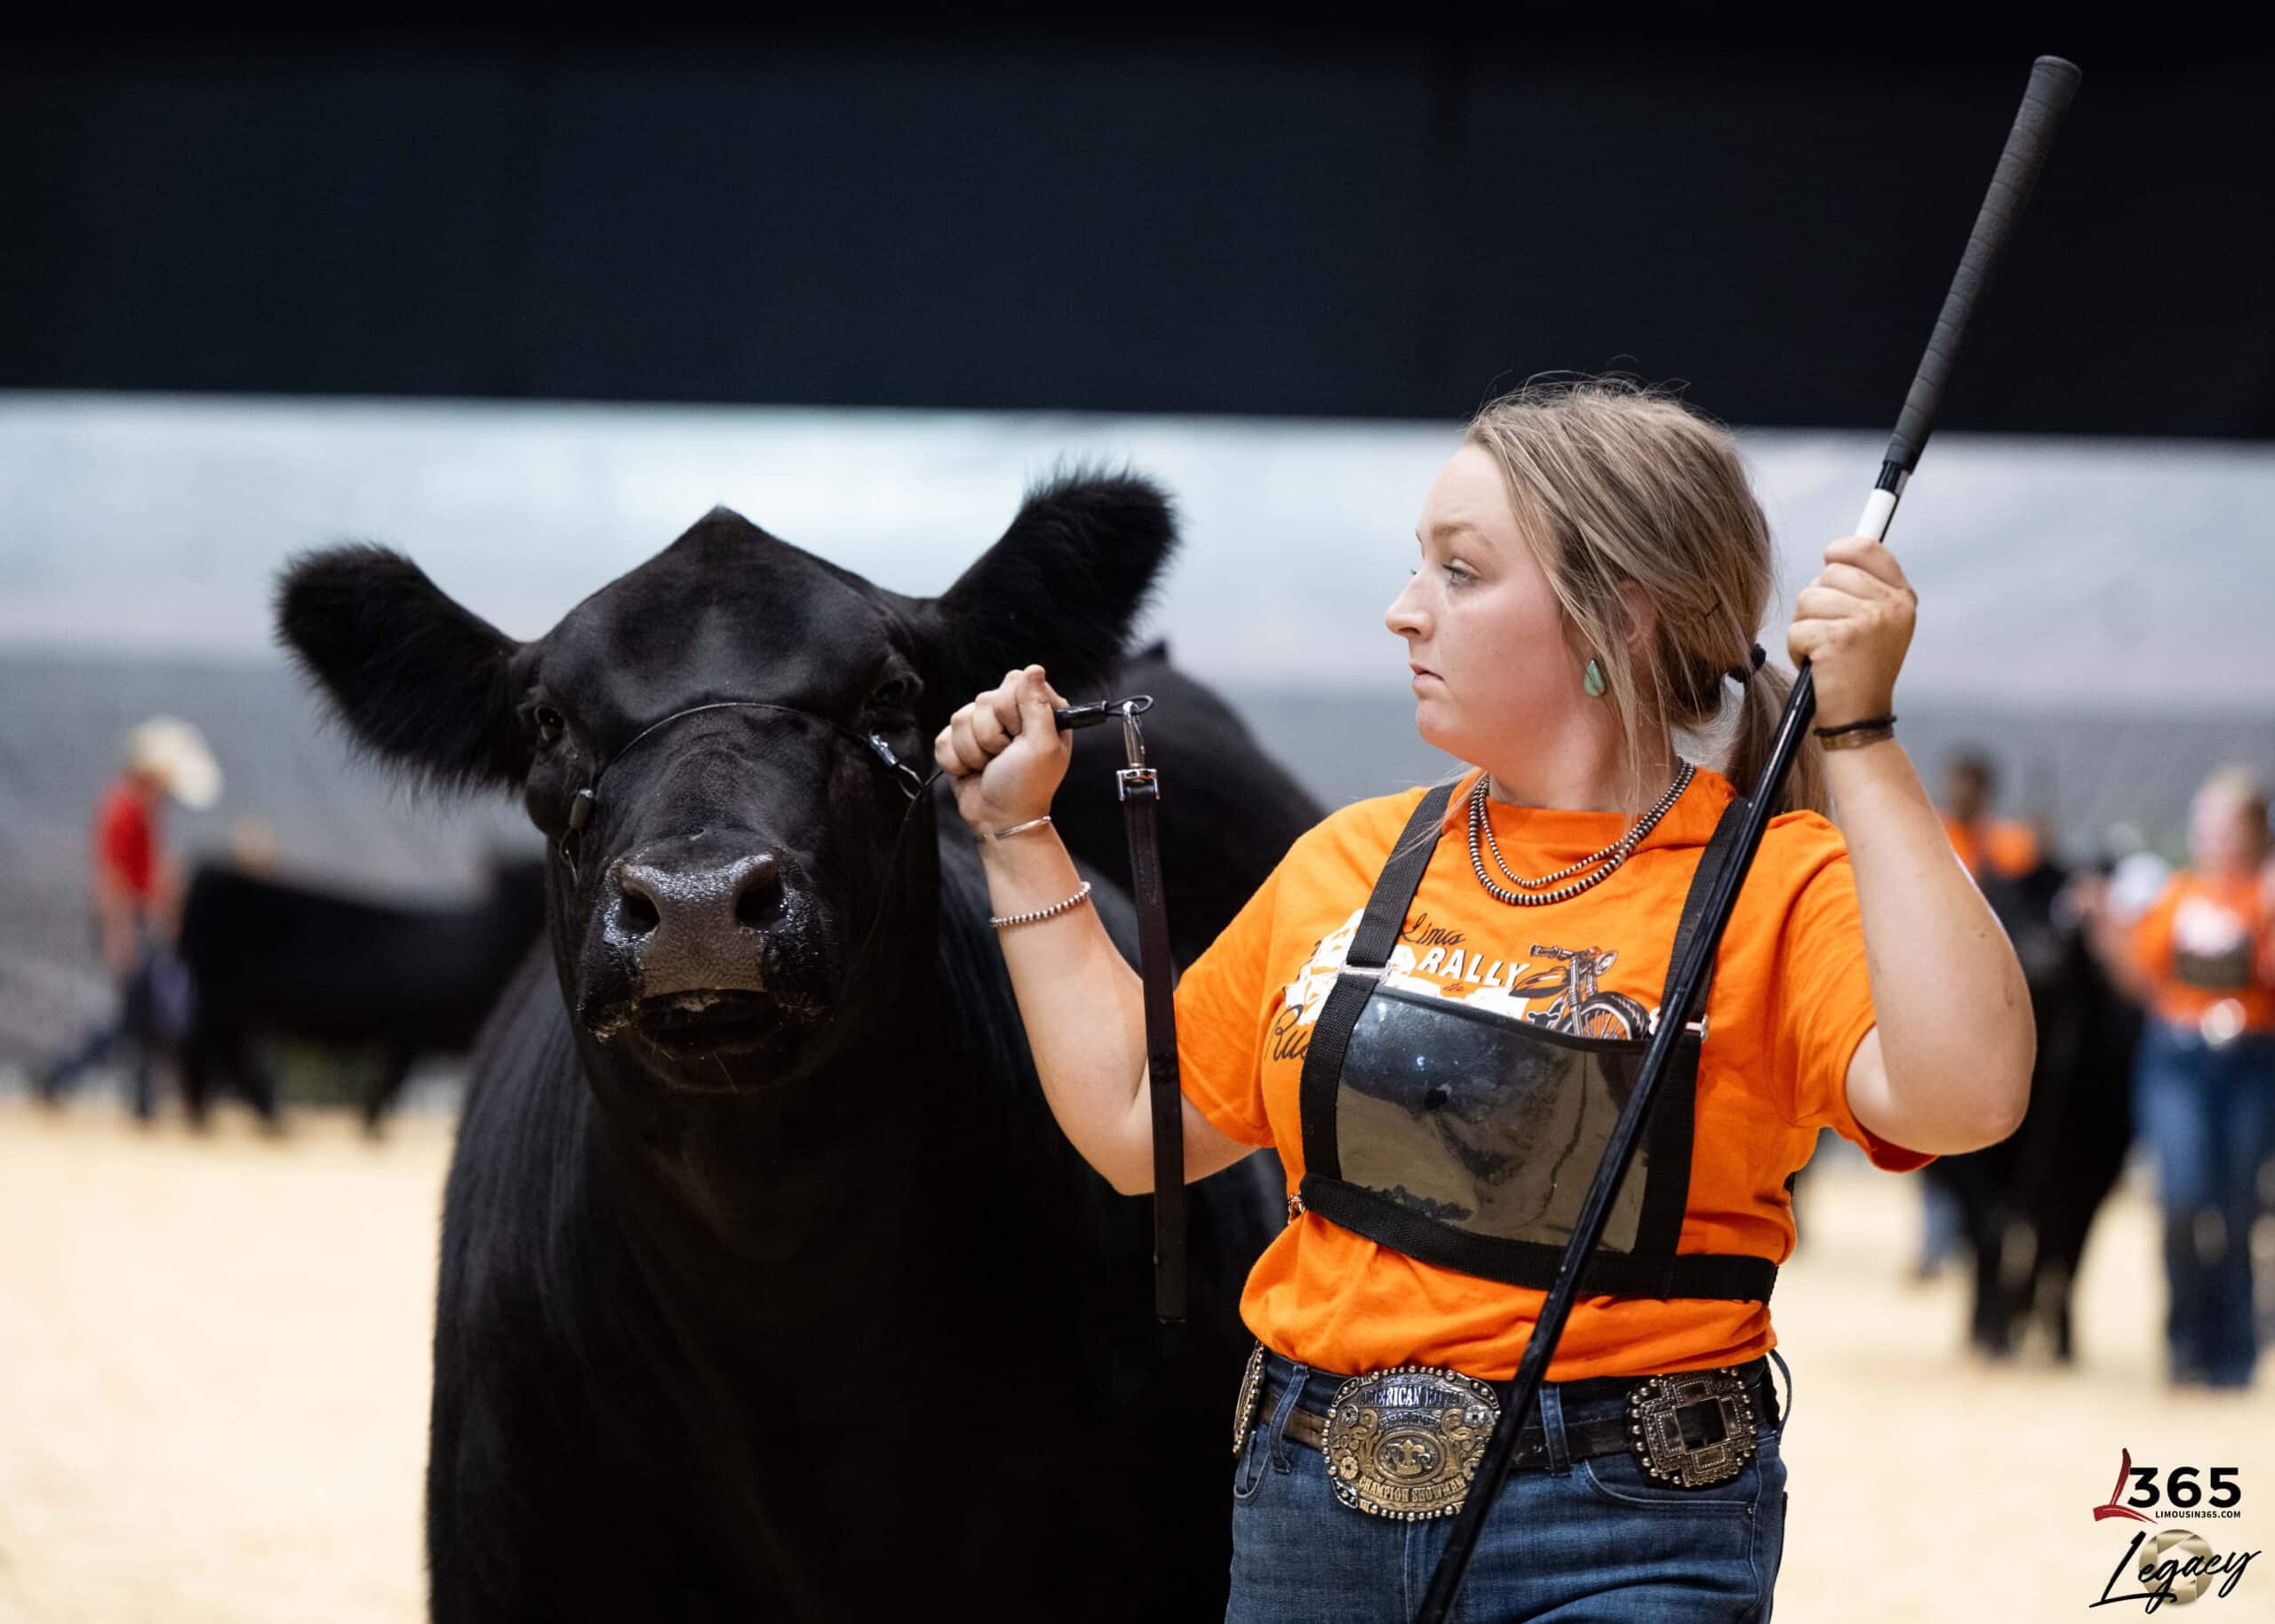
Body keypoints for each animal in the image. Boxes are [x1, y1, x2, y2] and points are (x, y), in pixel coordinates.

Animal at [173, 856, 547, 1131]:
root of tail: (209, 873)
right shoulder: (408, 1029)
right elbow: (390, 1081)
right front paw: (371, 1127)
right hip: (224, 1002)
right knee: (216, 1050)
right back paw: (264, 1121)